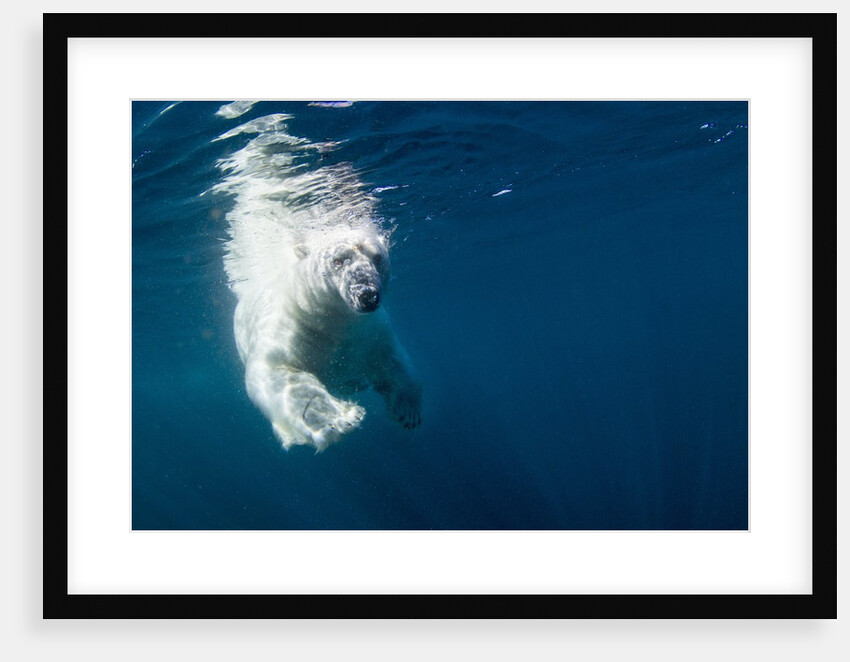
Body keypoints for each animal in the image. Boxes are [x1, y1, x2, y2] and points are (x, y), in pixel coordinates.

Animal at [231, 224, 422, 451]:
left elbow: (392, 362)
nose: (367, 295)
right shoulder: (289, 329)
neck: (329, 321)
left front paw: (407, 411)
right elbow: (278, 372)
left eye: (377, 257)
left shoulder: (370, 333)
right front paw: (341, 419)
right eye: (338, 260)